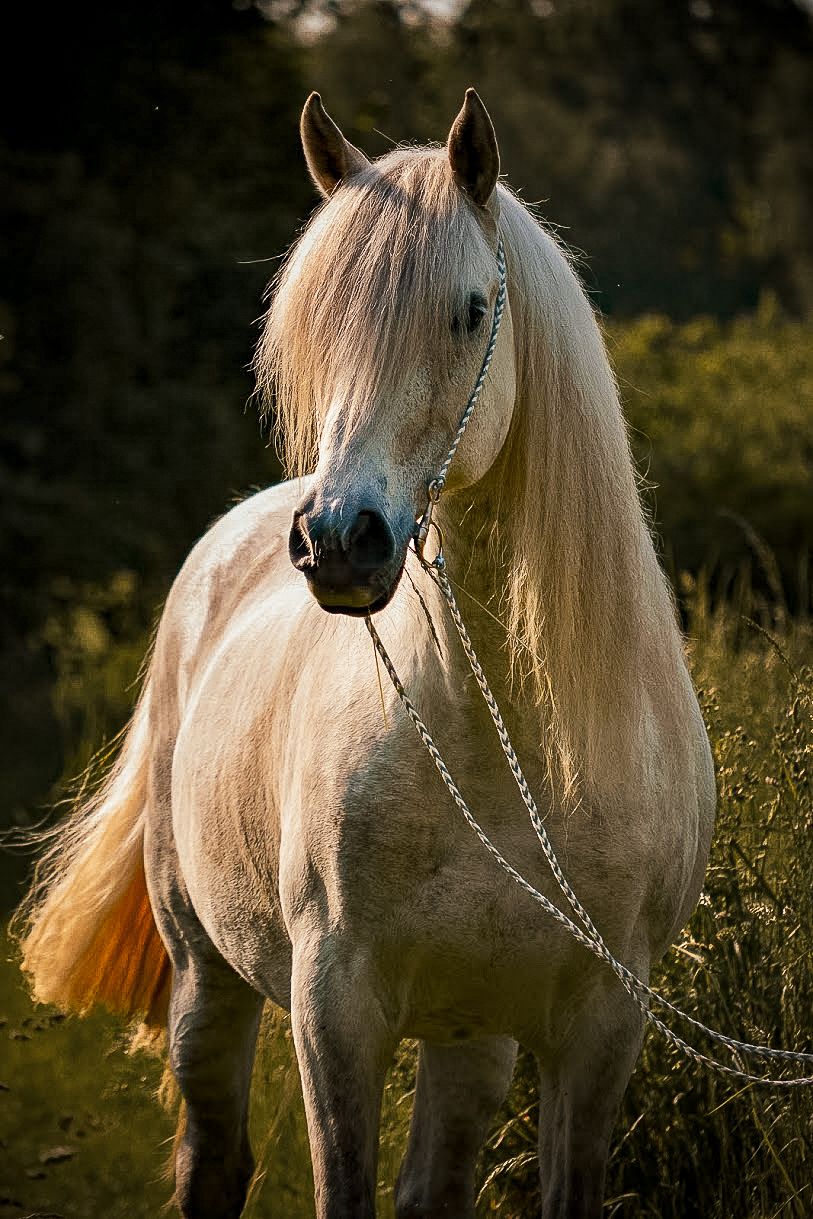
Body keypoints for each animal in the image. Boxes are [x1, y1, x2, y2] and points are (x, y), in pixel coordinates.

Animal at [18, 89, 716, 1218]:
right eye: (316, 326)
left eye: (471, 312)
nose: (339, 539)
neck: (510, 749)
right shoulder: (335, 1005)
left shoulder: (601, 1024)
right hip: (208, 978)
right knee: (212, 1159)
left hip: (472, 1035)